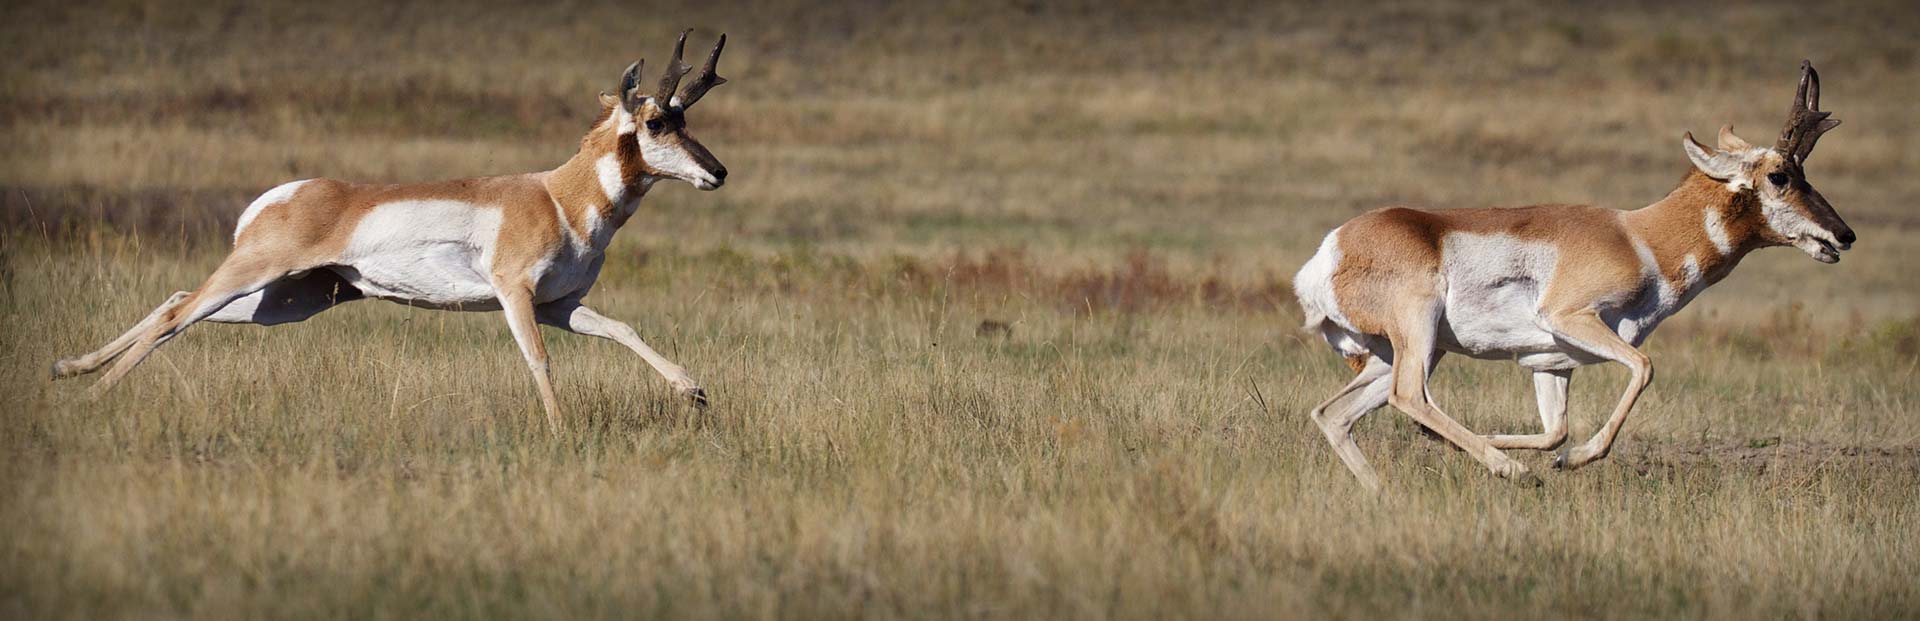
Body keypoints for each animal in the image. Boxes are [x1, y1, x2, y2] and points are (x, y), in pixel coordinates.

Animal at [52, 29, 729, 428]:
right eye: (657, 122)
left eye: (686, 118)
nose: (718, 172)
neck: (558, 195)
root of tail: (290, 194)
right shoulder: (516, 296)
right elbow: (537, 359)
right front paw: (562, 432)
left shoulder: (559, 305)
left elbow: (620, 327)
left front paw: (693, 390)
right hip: (256, 273)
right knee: (176, 313)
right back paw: (88, 395)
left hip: (291, 300)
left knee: (178, 304)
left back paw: (69, 369)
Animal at [1297, 62, 1850, 492]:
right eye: (1779, 175)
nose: (1845, 236)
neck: (1639, 236)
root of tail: (1330, 250)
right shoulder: (1572, 318)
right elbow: (1643, 368)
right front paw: (1569, 461)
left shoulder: (1553, 363)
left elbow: (1555, 430)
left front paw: (1532, 452)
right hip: (1419, 331)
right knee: (1409, 395)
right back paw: (1512, 471)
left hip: (1402, 352)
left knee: (1334, 414)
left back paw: (1386, 492)